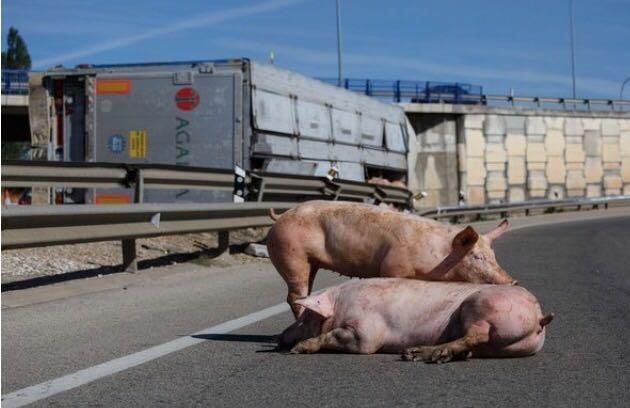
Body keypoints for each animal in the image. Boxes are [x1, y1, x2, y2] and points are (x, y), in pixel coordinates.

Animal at [268, 202, 520, 318]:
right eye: (476, 256)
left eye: (494, 256)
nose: (513, 281)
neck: (438, 255)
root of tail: (281, 215)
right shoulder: (393, 265)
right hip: (291, 255)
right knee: (295, 296)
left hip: (310, 262)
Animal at [278, 278, 556, 364]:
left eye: (305, 317)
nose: (279, 337)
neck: (339, 305)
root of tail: (538, 316)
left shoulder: (366, 332)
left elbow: (349, 340)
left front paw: (297, 350)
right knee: (473, 345)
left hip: (482, 306)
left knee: (477, 334)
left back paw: (423, 355)